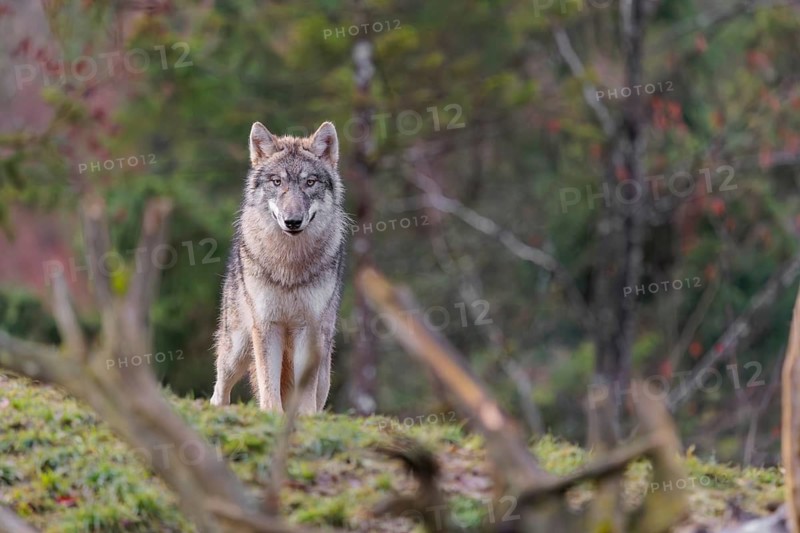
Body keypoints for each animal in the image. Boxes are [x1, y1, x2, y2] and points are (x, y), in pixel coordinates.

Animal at [210, 121, 347, 414]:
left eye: (310, 182)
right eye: (277, 182)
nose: (292, 221)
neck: (289, 266)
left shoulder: (308, 328)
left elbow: (304, 394)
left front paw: (305, 418)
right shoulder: (267, 325)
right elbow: (268, 383)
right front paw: (271, 413)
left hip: (324, 369)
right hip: (237, 350)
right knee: (219, 390)